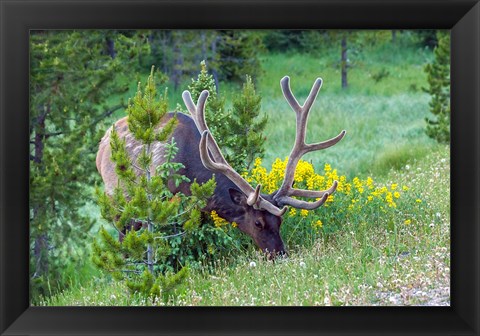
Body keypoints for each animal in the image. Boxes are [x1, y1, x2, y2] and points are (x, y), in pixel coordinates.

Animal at [96, 75, 344, 256]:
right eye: (258, 222)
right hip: (118, 200)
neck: (191, 174)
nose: (280, 254)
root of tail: (102, 143)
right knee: (123, 239)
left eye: (280, 220)